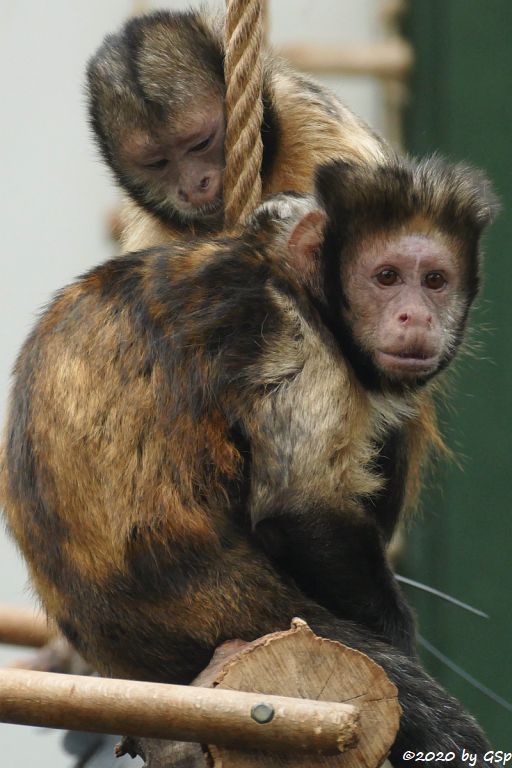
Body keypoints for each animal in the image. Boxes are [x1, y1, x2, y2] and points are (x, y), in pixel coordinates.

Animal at [0, 156, 496, 760]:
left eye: (434, 281)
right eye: (386, 278)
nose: (415, 317)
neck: (292, 280)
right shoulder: (293, 331)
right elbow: (299, 510)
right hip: (226, 610)